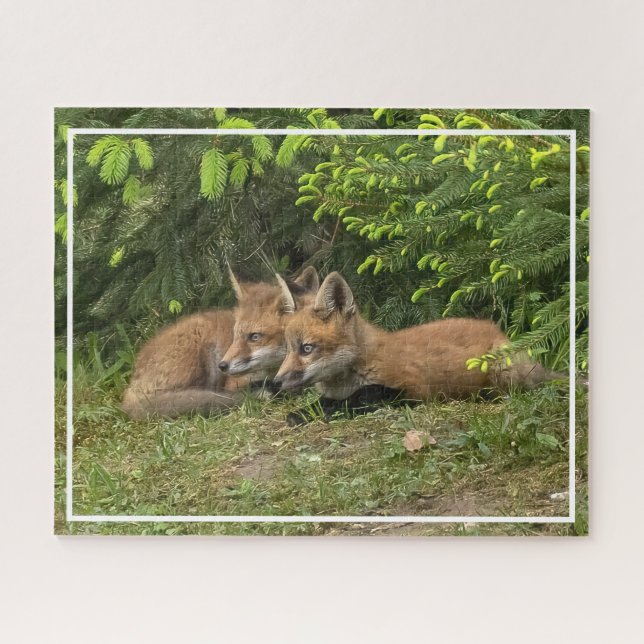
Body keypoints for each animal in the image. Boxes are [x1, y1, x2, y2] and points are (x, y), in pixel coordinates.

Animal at [274, 271, 558, 407]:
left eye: (307, 348)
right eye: (288, 349)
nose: (275, 382)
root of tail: (500, 333)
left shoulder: (414, 389)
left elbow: (361, 398)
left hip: (500, 372)